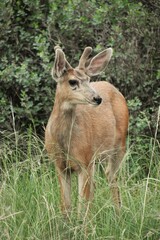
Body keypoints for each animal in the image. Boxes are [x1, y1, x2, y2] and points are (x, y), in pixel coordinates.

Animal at [44, 45, 129, 218]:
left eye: (89, 80)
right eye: (72, 81)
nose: (97, 98)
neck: (65, 143)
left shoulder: (85, 162)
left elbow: (82, 205)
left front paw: (83, 225)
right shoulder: (60, 165)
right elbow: (66, 205)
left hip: (119, 145)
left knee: (111, 175)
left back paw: (118, 215)